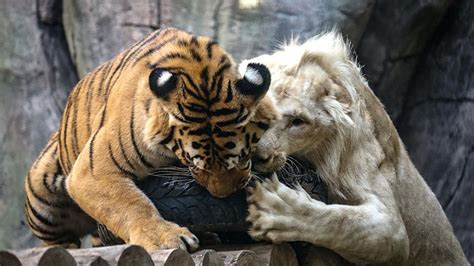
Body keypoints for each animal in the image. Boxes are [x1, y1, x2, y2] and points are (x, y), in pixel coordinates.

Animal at [25, 27, 278, 251]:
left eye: (243, 157)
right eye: (194, 164)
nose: (223, 196)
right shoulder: (92, 172)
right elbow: (131, 203)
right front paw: (166, 238)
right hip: (41, 191)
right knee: (56, 240)